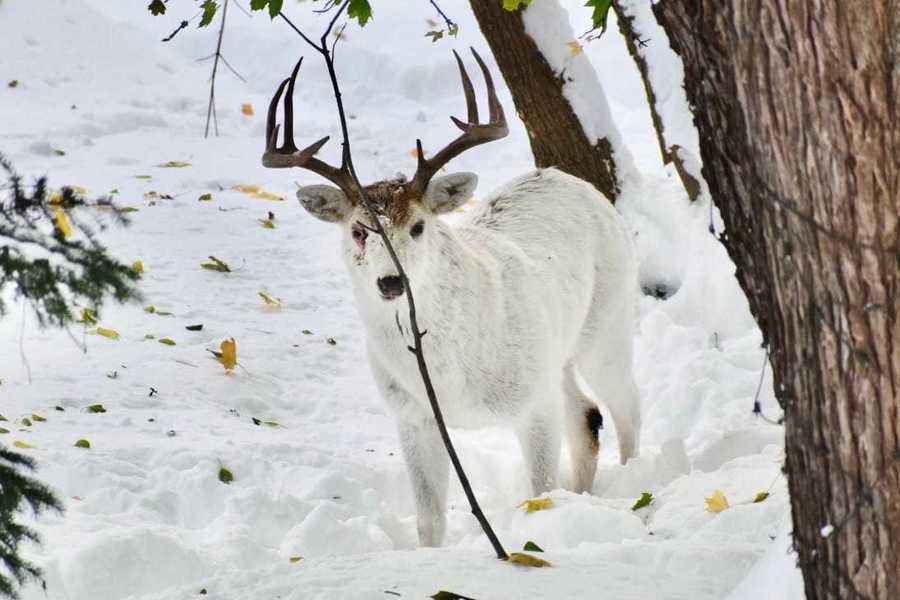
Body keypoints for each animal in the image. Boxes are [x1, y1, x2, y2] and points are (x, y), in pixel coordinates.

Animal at [260, 50, 640, 548]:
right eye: (359, 230)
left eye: (419, 226)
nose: (390, 283)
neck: (451, 377)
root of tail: (570, 180)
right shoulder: (412, 414)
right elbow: (429, 520)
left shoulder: (532, 401)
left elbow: (539, 492)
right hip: (557, 351)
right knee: (586, 416)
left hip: (608, 321)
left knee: (626, 407)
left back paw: (638, 487)